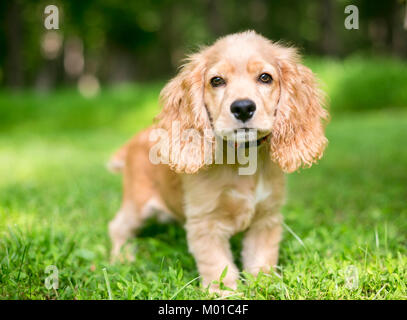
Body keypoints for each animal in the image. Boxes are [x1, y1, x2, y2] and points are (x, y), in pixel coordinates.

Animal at [107, 31, 328, 294]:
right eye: (217, 81)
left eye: (265, 77)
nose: (243, 108)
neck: (242, 159)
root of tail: (133, 141)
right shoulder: (205, 224)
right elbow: (219, 266)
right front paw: (224, 293)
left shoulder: (266, 218)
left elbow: (261, 259)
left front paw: (265, 286)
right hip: (137, 204)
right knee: (117, 227)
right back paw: (122, 258)